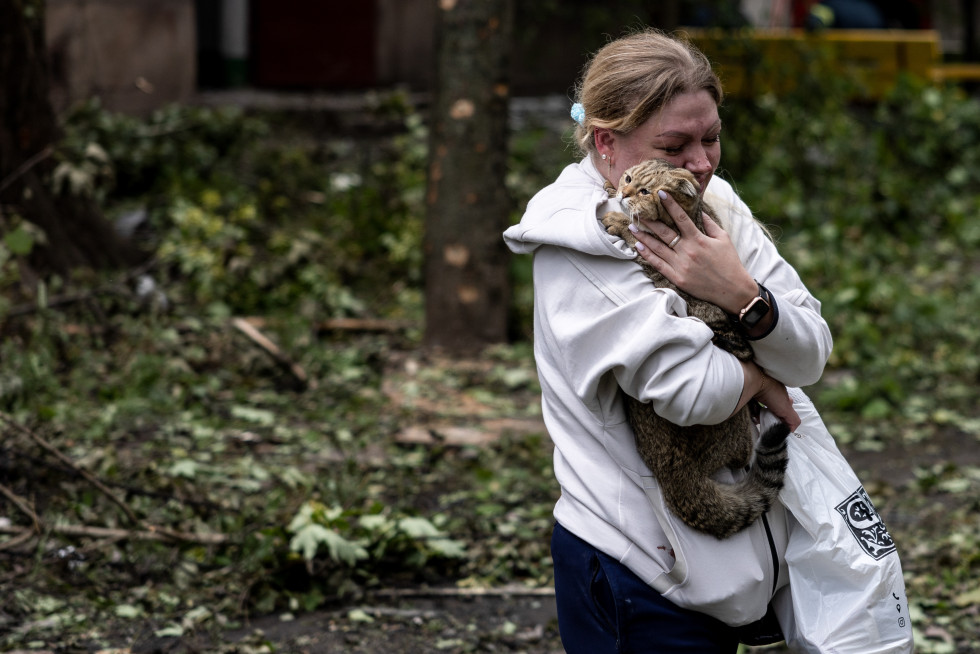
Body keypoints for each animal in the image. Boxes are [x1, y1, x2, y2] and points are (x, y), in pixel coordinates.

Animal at [596, 158, 788, 540]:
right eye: (628, 177)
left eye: (645, 191)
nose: (623, 192)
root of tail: (673, 471)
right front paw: (612, 194)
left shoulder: (663, 262)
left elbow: (637, 234)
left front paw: (620, 220)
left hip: (736, 424)